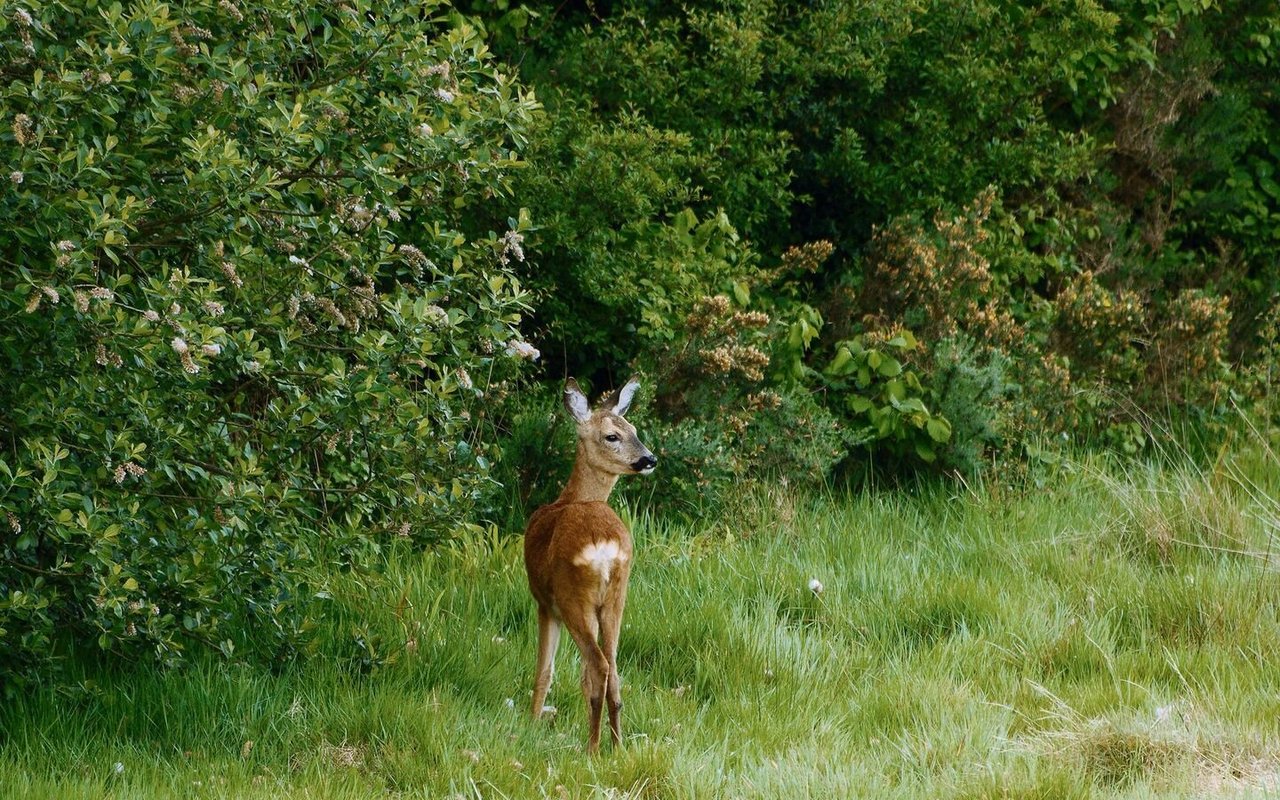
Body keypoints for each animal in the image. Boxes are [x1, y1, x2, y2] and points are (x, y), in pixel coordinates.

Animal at [522, 376, 655, 752]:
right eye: (613, 435)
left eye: (633, 430)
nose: (649, 459)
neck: (571, 498)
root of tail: (603, 546)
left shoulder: (544, 602)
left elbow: (545, 670)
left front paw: (532, 722)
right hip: (616, 597)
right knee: (612, 668)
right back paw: (616, 744)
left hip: (572, 597)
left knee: (598, 665)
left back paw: (593, 748)